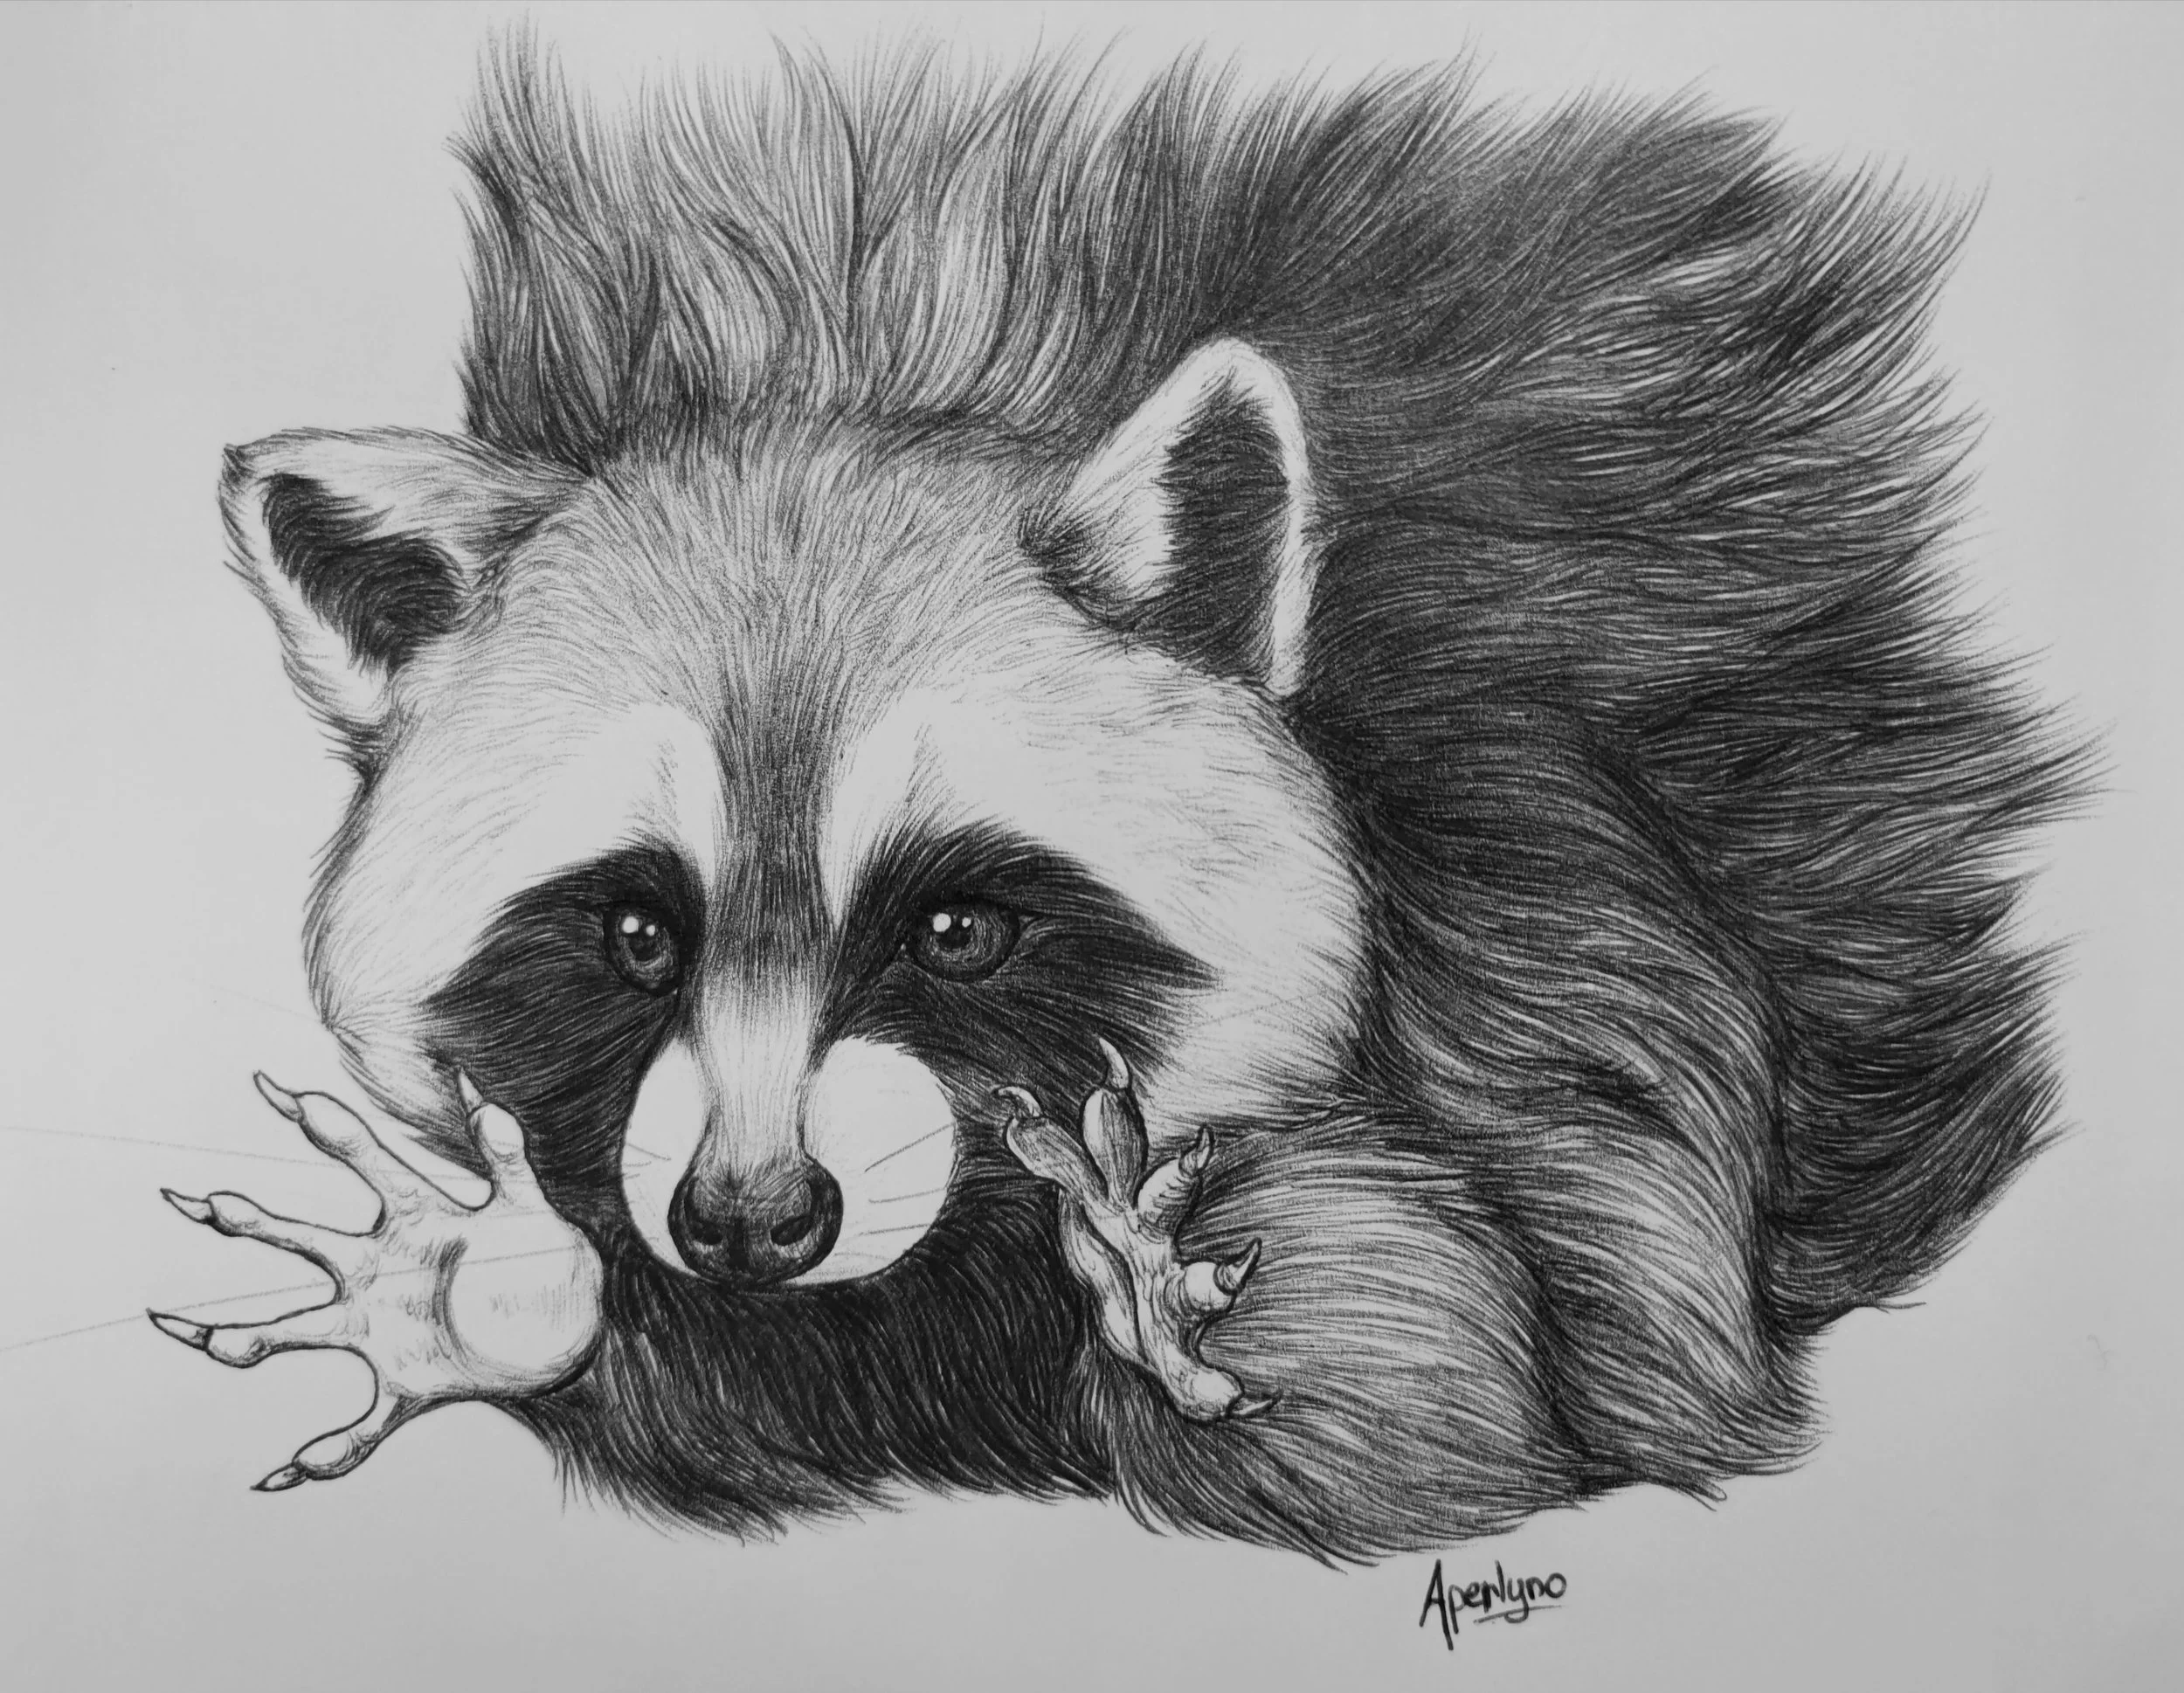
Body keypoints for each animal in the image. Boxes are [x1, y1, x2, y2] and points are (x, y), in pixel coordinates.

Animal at [155, 42, 2084, 1561]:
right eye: (634, 930)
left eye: (958, 927)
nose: (752, 1221)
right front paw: (502, 1289)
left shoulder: (1561, 935)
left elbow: (1478, 1390)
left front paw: (1172, 1316)